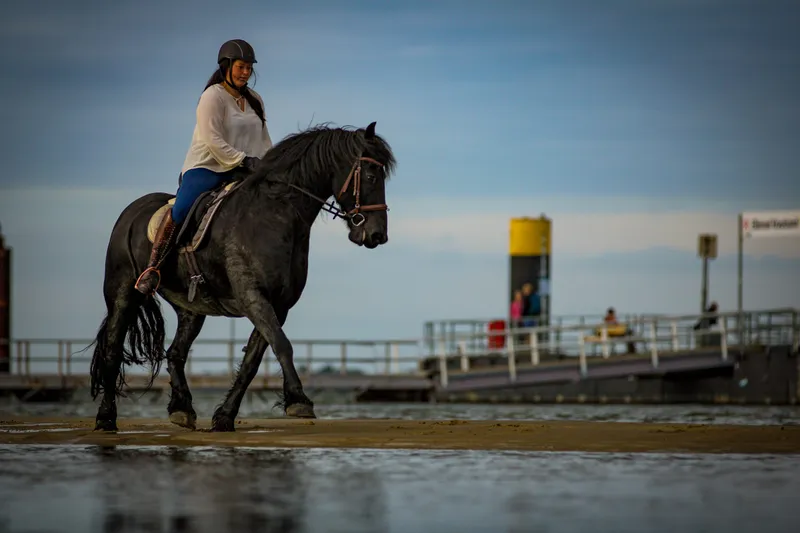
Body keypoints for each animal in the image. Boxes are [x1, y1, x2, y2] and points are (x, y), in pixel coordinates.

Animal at [87, 121, 396, 432]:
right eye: (371, 175)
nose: (377, 235)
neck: (275, 215)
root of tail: (132, 210)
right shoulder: (253, 297)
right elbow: (282, 345)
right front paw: (299, 400)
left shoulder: (278, 305)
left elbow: (253, 360)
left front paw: (225, 416)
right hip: (123, 292)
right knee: (113, 349)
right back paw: (106, 417)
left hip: (190, 308)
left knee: (175, 352)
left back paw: (181, 409)